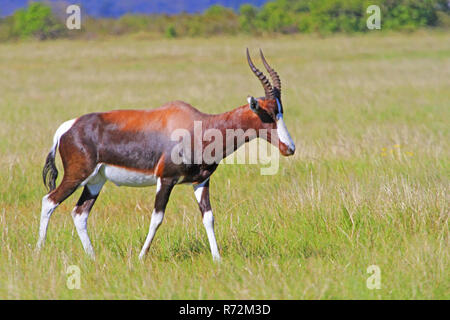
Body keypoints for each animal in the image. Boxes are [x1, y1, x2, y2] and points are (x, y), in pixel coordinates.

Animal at [35, 48, 296, 262]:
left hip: (95, 181)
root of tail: (67, 127)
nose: (289, 148)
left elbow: (209, 218)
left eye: (281, 110)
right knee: (49, 201)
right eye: (268, 113)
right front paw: (141, 257)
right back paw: (39, 251)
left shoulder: (201, 182)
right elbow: (157, 218)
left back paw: (93, 257)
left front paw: (218, 259)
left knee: (80, 213)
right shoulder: (166, 179)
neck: (198, 124)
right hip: (77, 176)